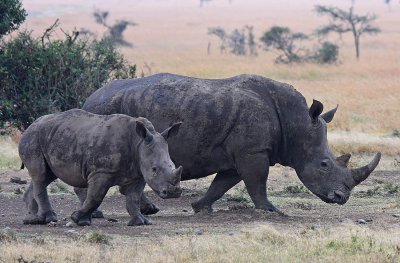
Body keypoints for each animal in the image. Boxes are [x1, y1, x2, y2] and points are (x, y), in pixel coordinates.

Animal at [18, 109, 181, 227]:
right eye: (154, 169)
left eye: (173, 165)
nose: (173, 193)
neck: (138, 143)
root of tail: (30, 126)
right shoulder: (101, 172)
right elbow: (95, 197)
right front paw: (78, 220)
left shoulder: (138, 174)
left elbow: (133, 198)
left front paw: (140, 222)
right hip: (32, 138)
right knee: (41, 175)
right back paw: (48, 218)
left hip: (53, 137)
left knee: (46, 176)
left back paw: (33, 220)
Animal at [76, 73, 380, 214]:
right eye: (324, 164)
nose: (341, 198)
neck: (297, 123)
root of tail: (90, 97)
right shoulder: (253, 151)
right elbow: (257, 182)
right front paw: (271, 210)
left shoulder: (241, 152)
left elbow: (223, 182)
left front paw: (200, 207)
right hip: (105, 110)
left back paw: (147, 209)